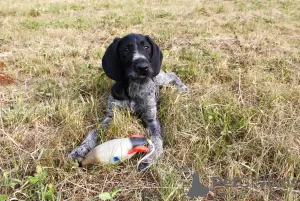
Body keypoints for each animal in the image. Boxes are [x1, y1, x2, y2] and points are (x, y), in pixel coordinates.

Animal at [68, 33, 188, 171]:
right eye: (125, 49)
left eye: (146, 47)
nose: (142, 67)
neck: (135, 86)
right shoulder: (111, 116)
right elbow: (94, 132)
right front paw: (80, 150)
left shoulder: (151, 119)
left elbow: (157, 139)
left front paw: (149, 158)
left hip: (159, 77)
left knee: (172, 74)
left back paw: (182, 87)